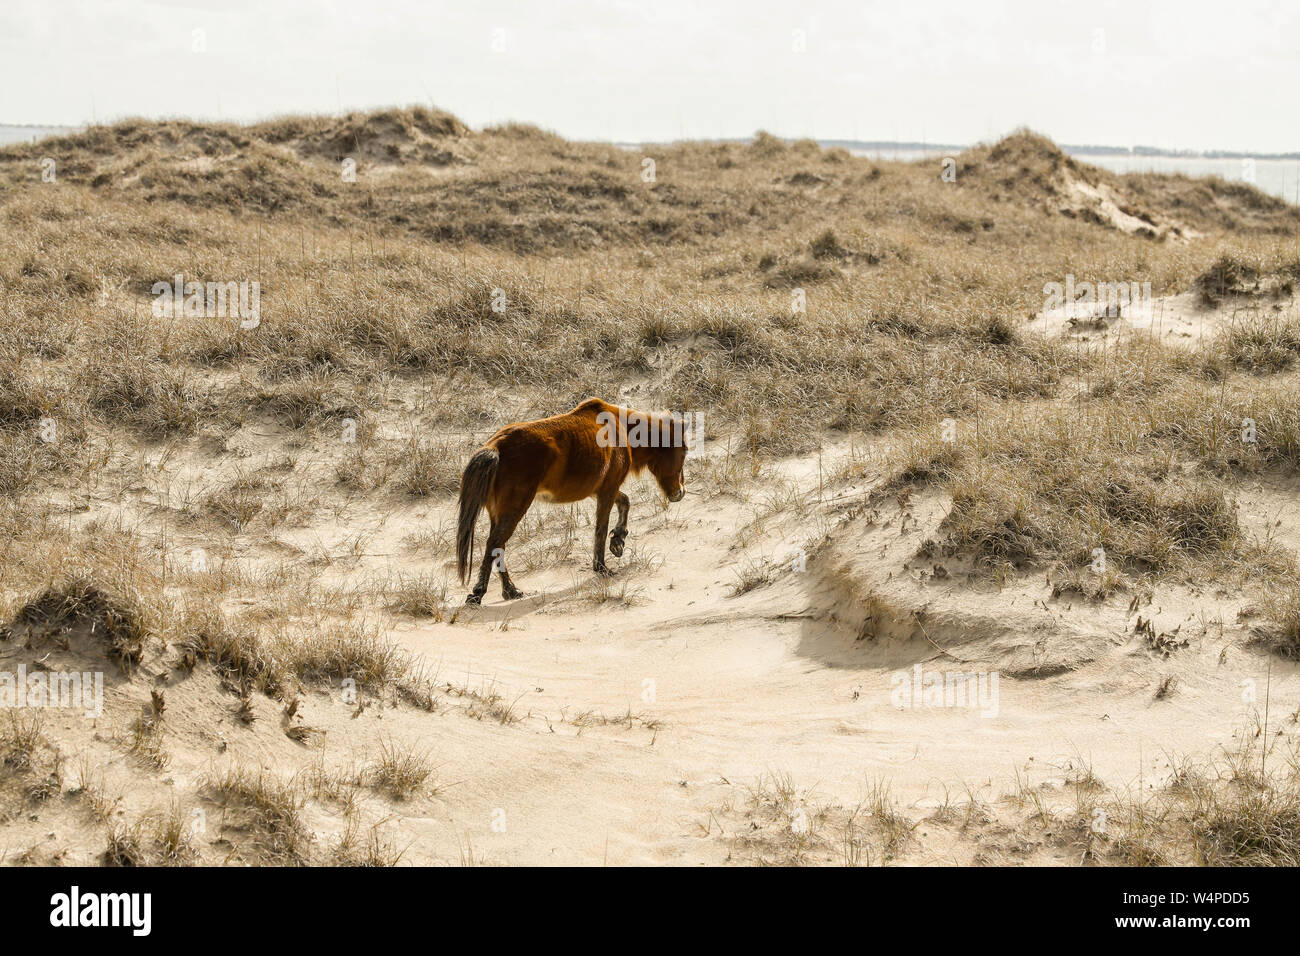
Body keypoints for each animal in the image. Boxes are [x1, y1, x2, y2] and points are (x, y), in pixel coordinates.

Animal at [454, 398, 686, 606]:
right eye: (683, 453)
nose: (680, 492)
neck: (621, 429)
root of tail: (495, 447)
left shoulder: (599, 490)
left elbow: (625, 503)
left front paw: (618, 541)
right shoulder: (607, 489)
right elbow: (601, 529)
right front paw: (602, 567)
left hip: (500, 512)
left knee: (498, 545)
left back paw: (510, 591)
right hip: (515, 508)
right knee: (494, 543)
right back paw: (478, 594)